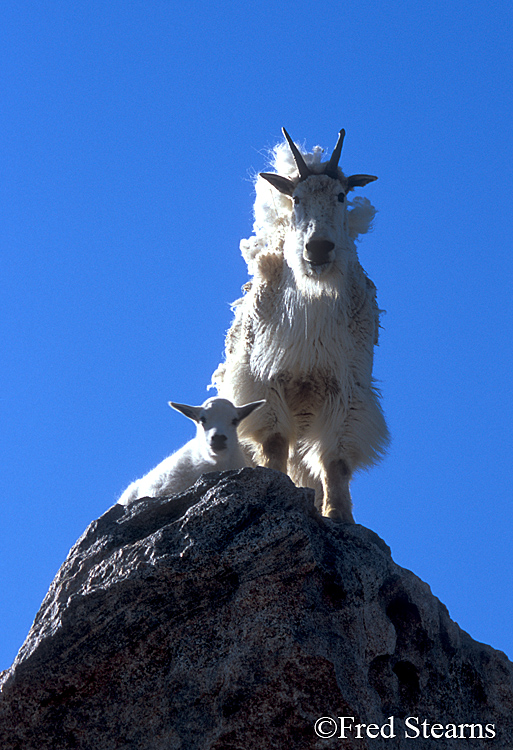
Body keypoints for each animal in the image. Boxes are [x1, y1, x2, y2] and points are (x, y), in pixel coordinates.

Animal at [211, 128, 388, 524]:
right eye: (296, 198)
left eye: (341, 196)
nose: (318, 248)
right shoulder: (267, 381)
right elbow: (275, 443)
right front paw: (275, 485)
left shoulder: (345, 391)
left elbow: (336, 460)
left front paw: (338, 514)